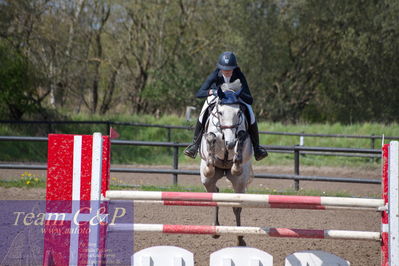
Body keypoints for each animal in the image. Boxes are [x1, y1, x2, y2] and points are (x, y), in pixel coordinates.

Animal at [199, 88, 253, 246]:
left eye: (239, 112)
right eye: (221, 113)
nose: (230, 143)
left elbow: (241, 137)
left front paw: (236, 165)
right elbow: (211, 138)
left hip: (239, 183)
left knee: (237, 207)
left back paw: (240, 238)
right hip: (207, 181)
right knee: (215, 194)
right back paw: (215, 229)